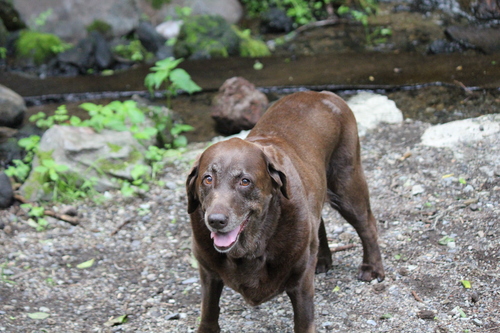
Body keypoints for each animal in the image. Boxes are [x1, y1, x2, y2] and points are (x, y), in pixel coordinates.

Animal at [188, 91, 386, 332]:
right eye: (207, 178)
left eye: (245, 181)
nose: (216, 220)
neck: (252, 246)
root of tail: (322, 94)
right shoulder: (208, 273)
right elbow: (208, 313)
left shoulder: (301, 282)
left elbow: (303, 320)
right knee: (318, 223)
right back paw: (322, 258)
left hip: (347, 185)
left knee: (367, 225)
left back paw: (372, 267)